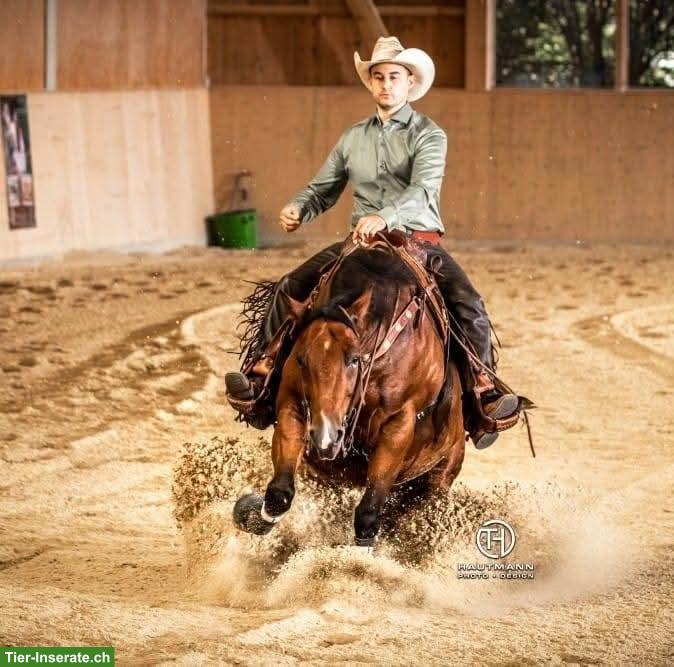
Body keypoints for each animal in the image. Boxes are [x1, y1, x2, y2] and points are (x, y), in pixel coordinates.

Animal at [233, 241, 466, 547]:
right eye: (301, 360)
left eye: (354, 359)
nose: (325, 437)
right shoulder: (292, 403)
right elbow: (279, 493)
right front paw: (248, 514)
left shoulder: (399, 424)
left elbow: (368, 513)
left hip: (441, 473)